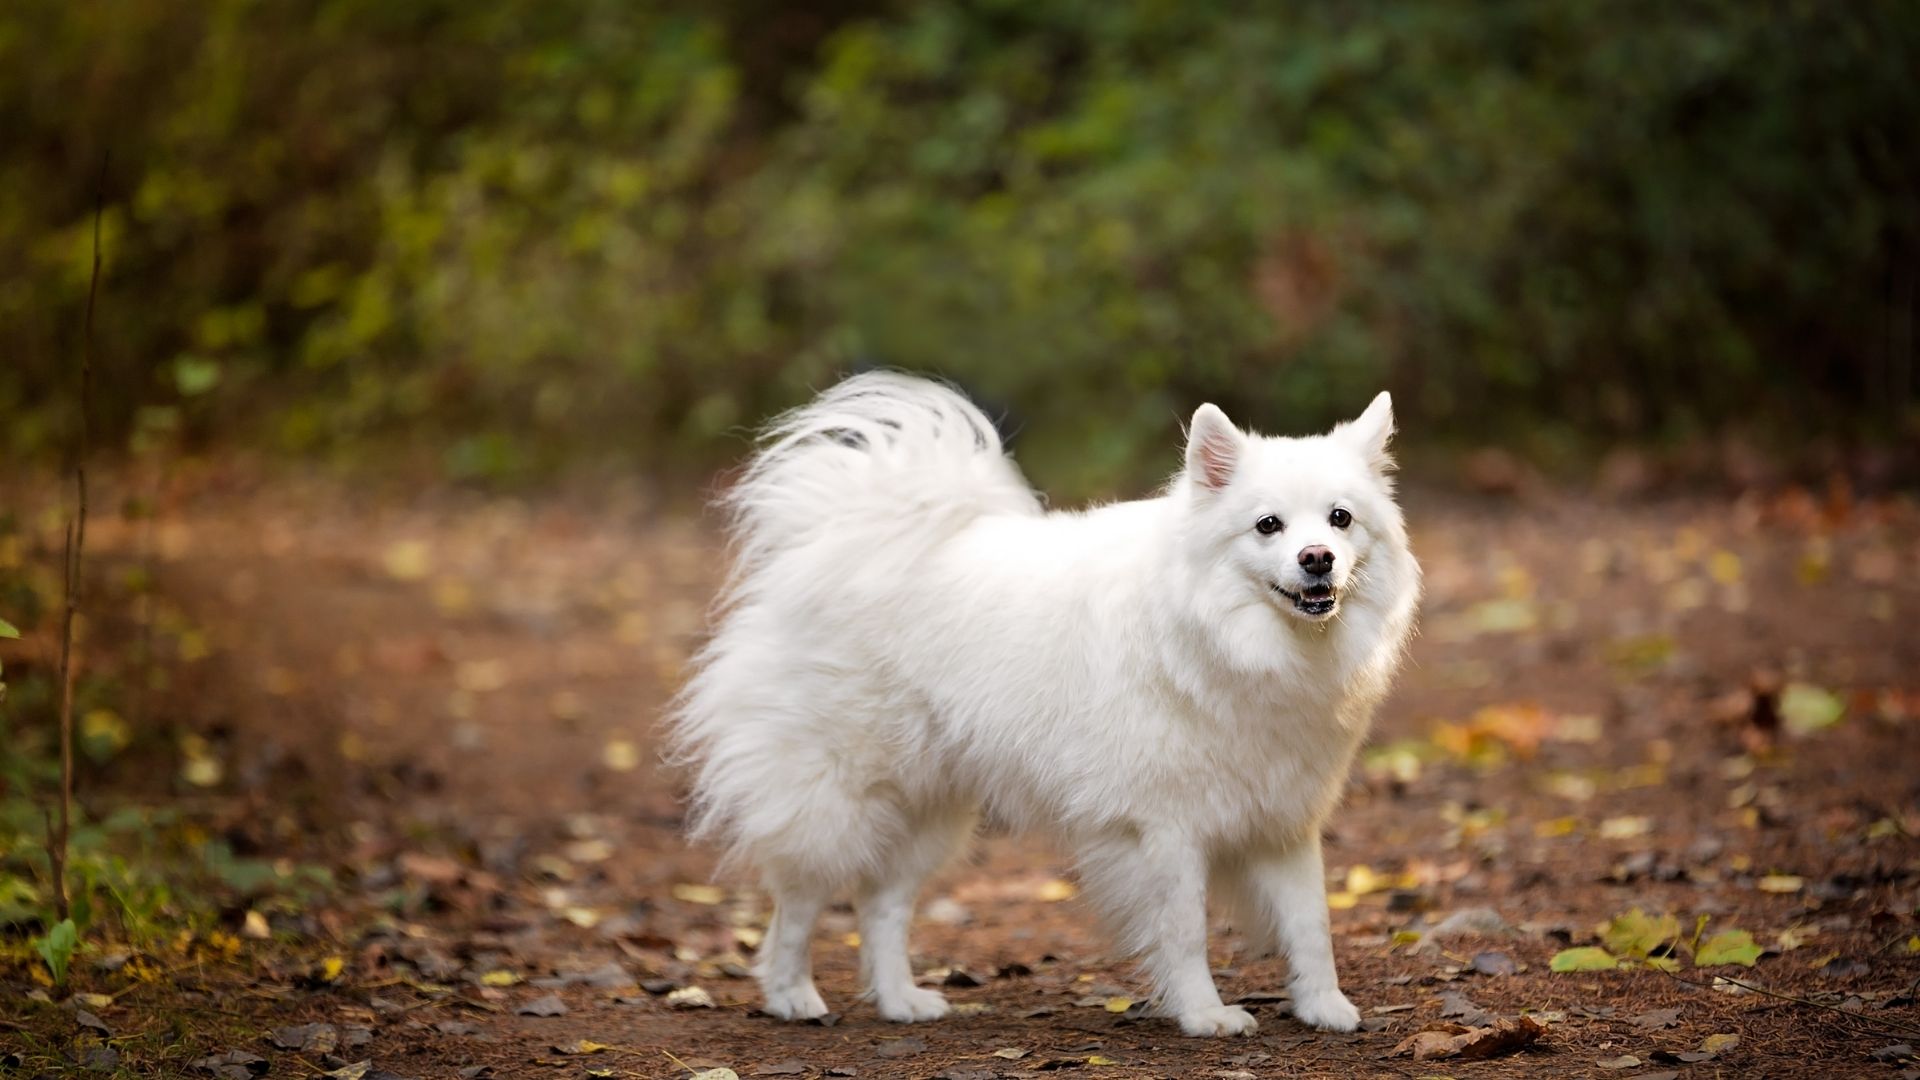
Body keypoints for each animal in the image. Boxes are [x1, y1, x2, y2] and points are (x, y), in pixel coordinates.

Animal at [668, 372, 1420, 1037]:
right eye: (1268, 526)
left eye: (1340, 519)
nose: (1317, 558)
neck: (1231, 640)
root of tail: (835, 542)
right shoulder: (1163, 828)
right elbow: (1183, 930)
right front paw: (1205, 1015)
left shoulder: (1286, 819)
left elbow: (1311, 923)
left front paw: (1324, 1006)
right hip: (839, 797)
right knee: (798, 901)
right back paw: (791, 995)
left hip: (932, 809)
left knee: (882, 904)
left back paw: (901, 1000)